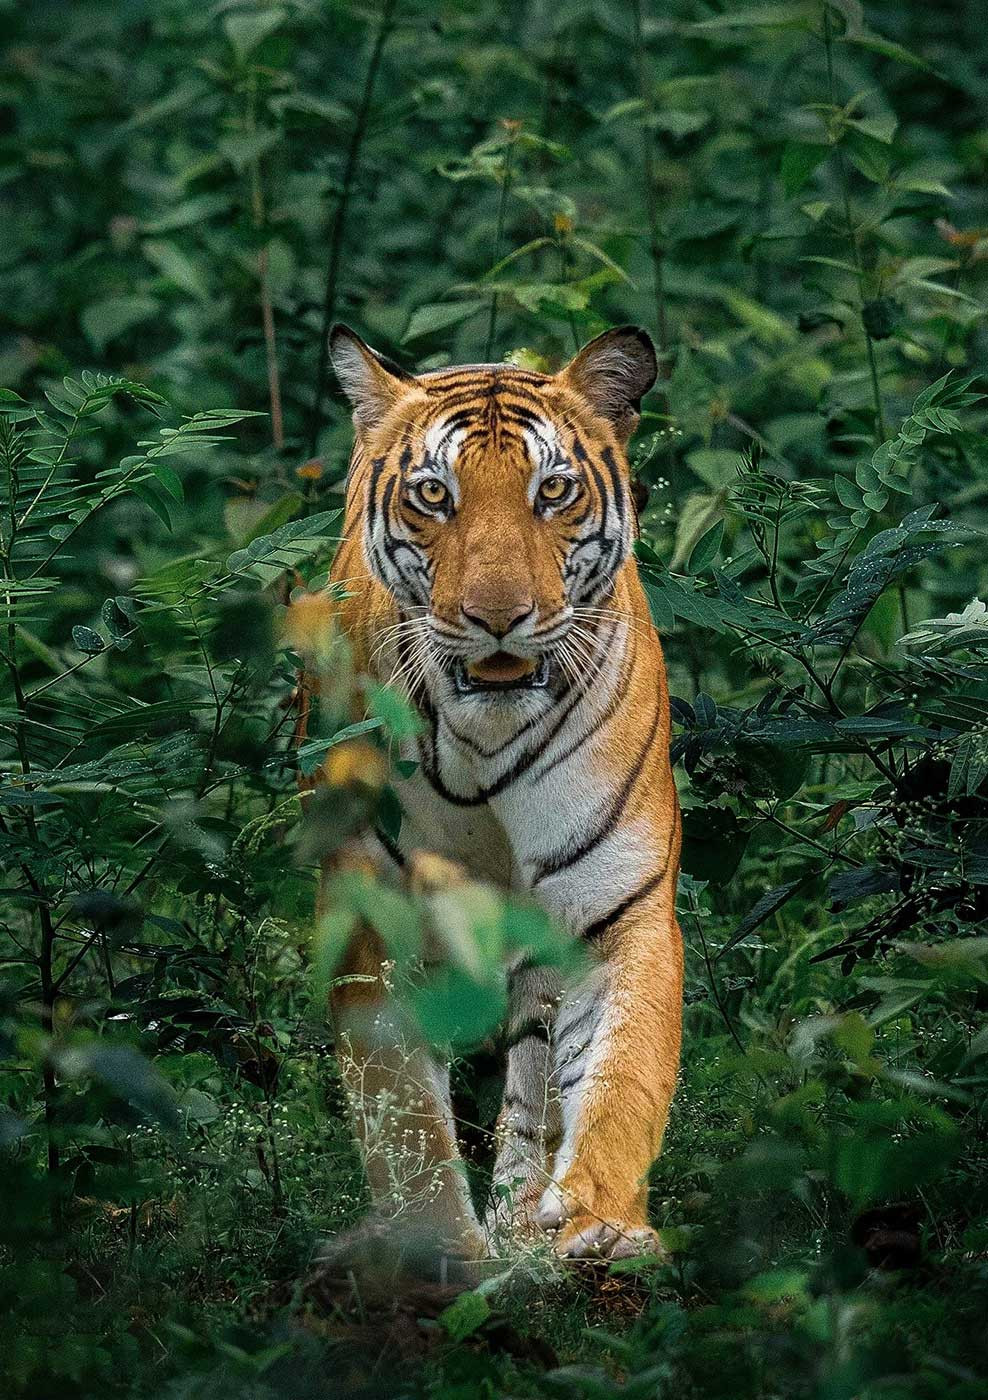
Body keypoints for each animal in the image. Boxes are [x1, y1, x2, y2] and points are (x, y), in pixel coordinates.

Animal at [317, 322, 683, 1263]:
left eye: (551, 491)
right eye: (433, 495)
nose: (497, 618)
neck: (487, 736)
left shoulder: (614, 905)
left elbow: (620, 1074)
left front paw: (596, 1222)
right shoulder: (373, 906)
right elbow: (402, 1109)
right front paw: (438, 1246)